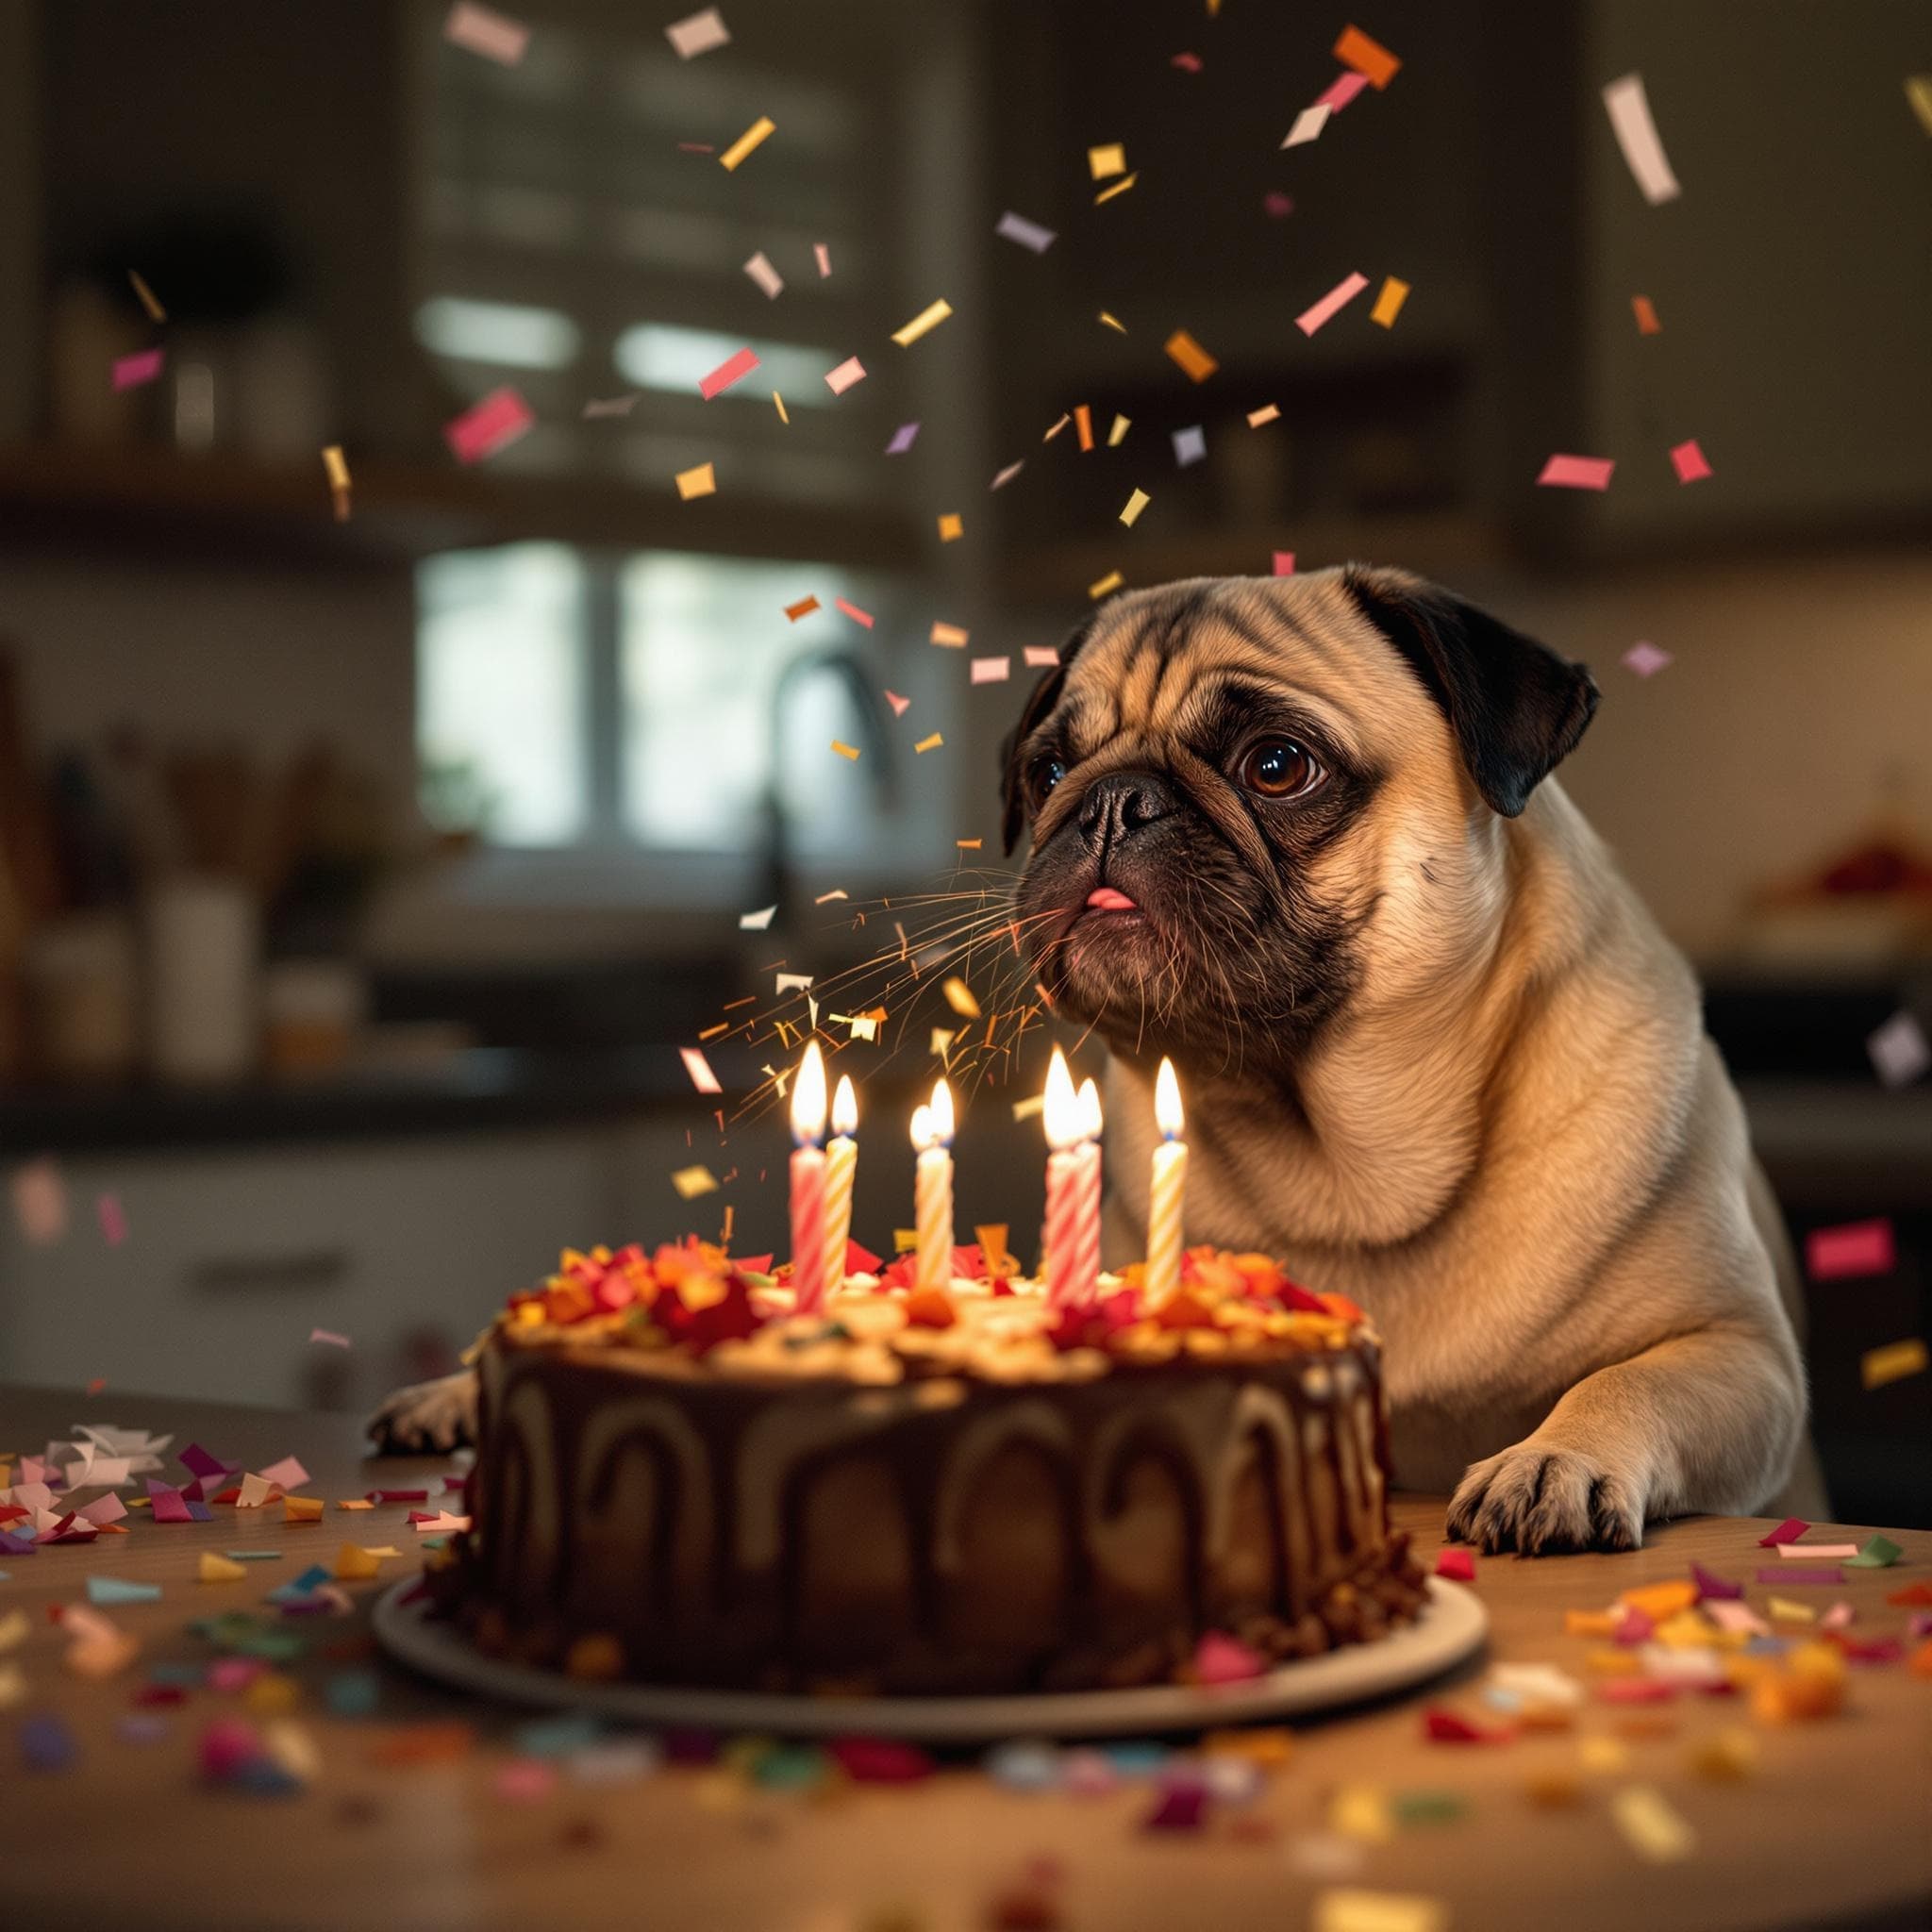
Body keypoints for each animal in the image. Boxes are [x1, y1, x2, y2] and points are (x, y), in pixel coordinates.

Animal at [996, 564, 1824, 1545]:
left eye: (1277, 766)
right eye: (1046, 773)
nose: (1110, 802)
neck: (1352, 1177)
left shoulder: (1741, 1354)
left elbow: (1630, 1381)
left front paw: (1554, 1460)